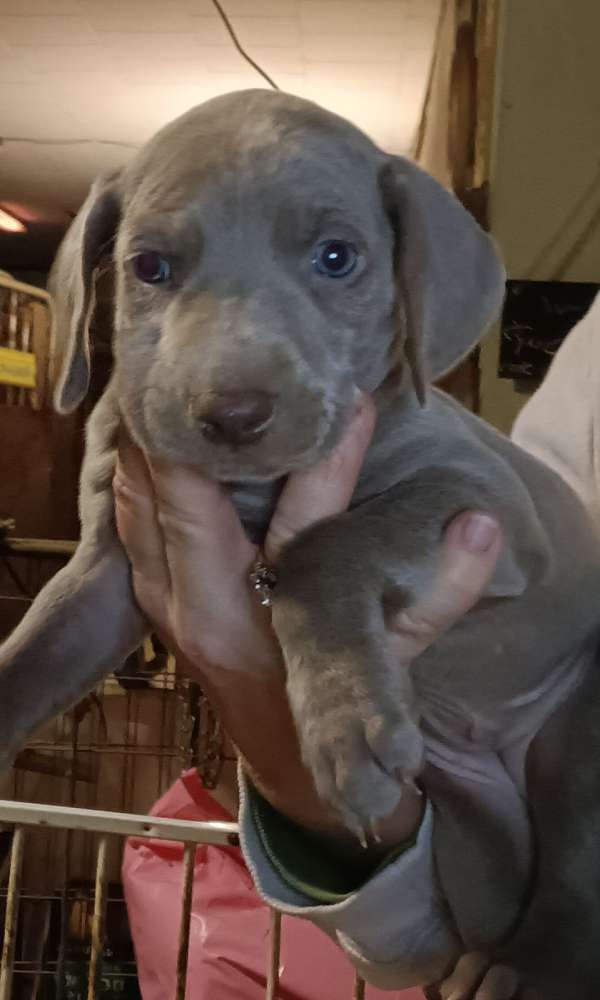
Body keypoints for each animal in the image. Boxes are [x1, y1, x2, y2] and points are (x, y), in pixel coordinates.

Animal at [1, 90, 600, 996]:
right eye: (149, 268)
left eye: (336, 257)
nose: (232, 414)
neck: (253, 495)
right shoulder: (108, 571)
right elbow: (30, 657)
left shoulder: (490, 507)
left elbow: (324, 548)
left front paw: (346, 727)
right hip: (477, 833)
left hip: (579, 732)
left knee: (572, 858)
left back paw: (531, 968)